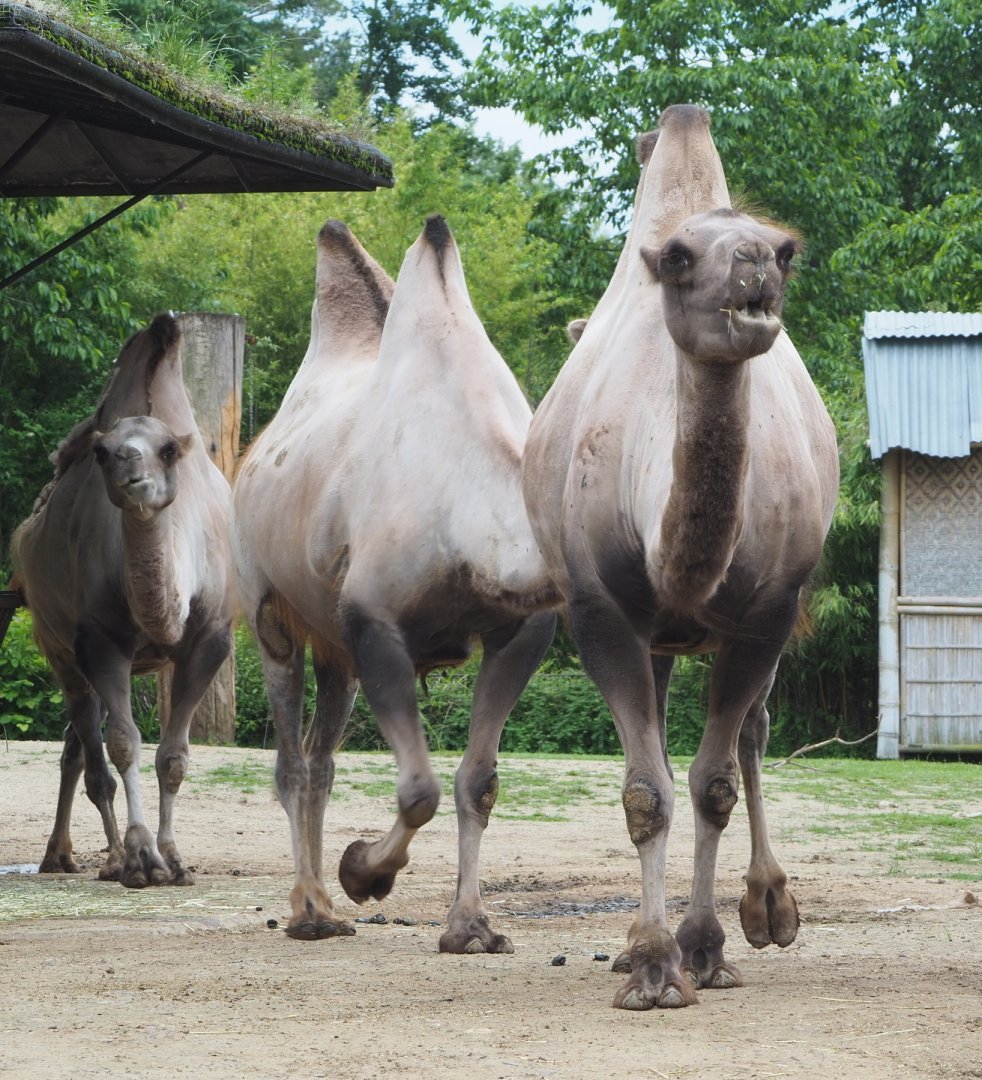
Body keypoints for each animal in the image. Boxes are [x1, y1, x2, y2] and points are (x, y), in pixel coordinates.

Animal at [11, 313, 235, 887]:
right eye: (101, 451)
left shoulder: (209, 640)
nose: (129, 468)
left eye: (169, 450)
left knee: (75, 747)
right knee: (89, 751)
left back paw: (68, 855)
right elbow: (124, 744)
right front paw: (140, 857)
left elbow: (174, 757)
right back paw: (100, 859)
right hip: (56, 645)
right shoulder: (100, 640)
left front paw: (174, 858)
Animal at [231, 217, 558, 944]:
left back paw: (323, 904)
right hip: (270, 610)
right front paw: (363, 873)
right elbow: (419, 790)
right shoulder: (375, 620)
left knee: (321, 760)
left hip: (335, 649)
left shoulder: (518, 632)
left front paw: (469, 927)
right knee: (292, 760)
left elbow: (477, 782)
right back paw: (311, 909)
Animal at [522, 104, 839, 1010]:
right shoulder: (601, 610)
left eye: (784, 248)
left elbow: (713, 783)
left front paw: (704, 949)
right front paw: (654, 964)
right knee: (662, 738)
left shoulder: (766, 614)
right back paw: (637, 943)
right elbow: (647, 791)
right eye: (677, 258)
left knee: (753, 735)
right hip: (656, 633)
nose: (755, 262)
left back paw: (769, 908)